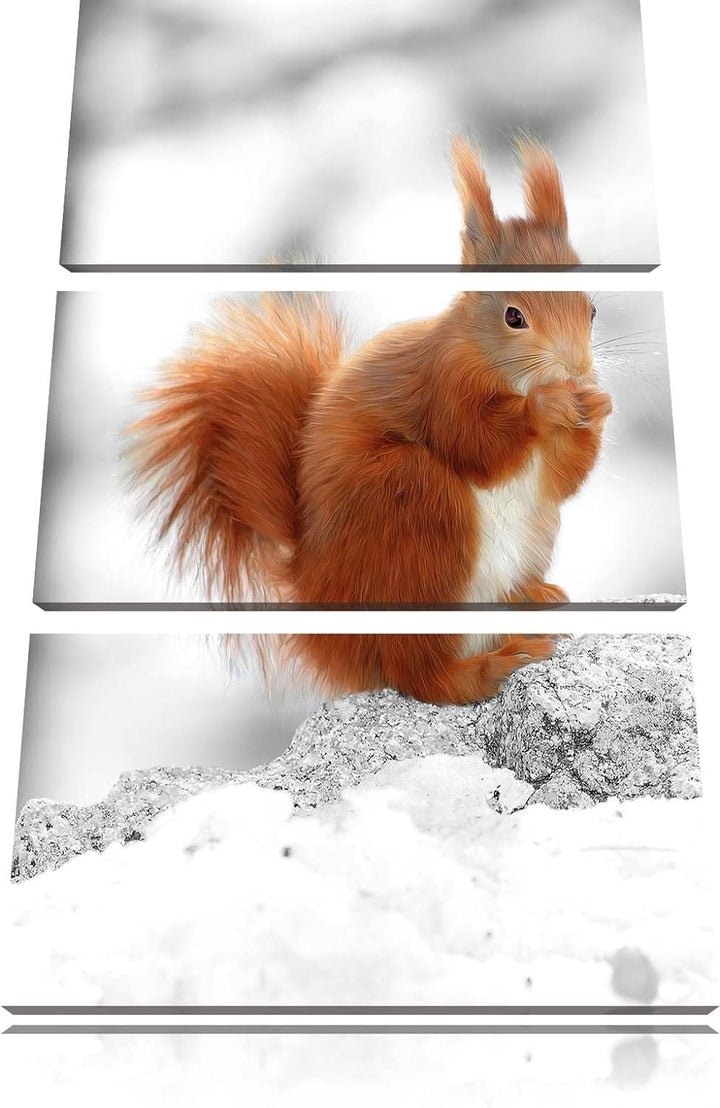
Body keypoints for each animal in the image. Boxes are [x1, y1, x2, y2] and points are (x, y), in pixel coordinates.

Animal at [128, 137, 612, 705]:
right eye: (514, 316)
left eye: (593, 310)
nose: (578, 369)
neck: (496, 367)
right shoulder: (441, 386)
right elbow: (474, 445)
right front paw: (545, 406)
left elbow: (561, 480)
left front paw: (596, 407)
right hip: (412, 511)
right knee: (420, 674)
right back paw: (488, 666)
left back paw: (534, 601)